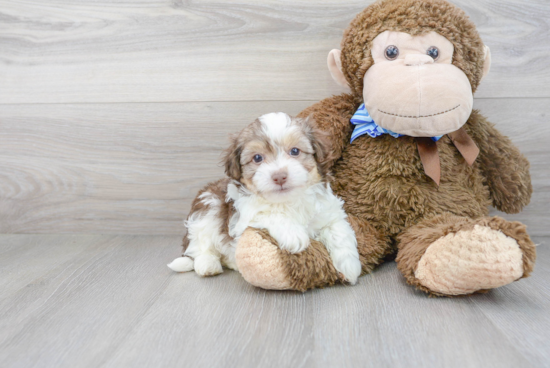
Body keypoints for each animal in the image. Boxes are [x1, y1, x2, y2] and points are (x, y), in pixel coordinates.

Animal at [170, 112, 364, 284]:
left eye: (295, 151)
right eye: (257, 158)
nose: (279, 176)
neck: (289, 200)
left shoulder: (329, 211)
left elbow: (339, 231)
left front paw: (349, 266)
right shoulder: (244, 216)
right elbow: (269, 213)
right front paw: (294, 235)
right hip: (208, 207)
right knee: (200, 244)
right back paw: (207, 264)